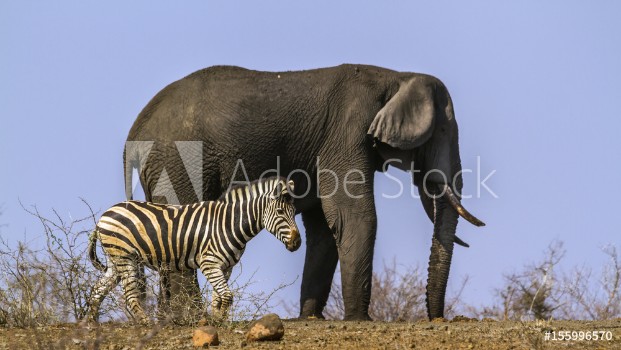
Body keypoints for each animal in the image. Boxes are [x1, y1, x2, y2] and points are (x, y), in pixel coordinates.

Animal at [87, 176, 300, 324]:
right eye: (280, 212)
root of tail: (105, 215)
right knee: (130, 295)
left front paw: (217, 321)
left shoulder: (226, 267)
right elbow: (227, 296)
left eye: (294, 212)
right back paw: (145, 323)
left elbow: (218, 298)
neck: (229, 223)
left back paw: (91, 325)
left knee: (97, 290)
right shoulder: (209, 263)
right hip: (125, 257)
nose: (297, 242)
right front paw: (217, 322)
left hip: (115, 260)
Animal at [123, 63, 484, 320]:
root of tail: (134, 134)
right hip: (179, 158)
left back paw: (172, 321)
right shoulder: (347, 132)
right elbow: (353, 215)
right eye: (443, 130)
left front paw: (311, 319)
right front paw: (358, 320)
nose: (437, 318)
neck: (396, 77)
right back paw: (193, 318)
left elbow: (325, 226)